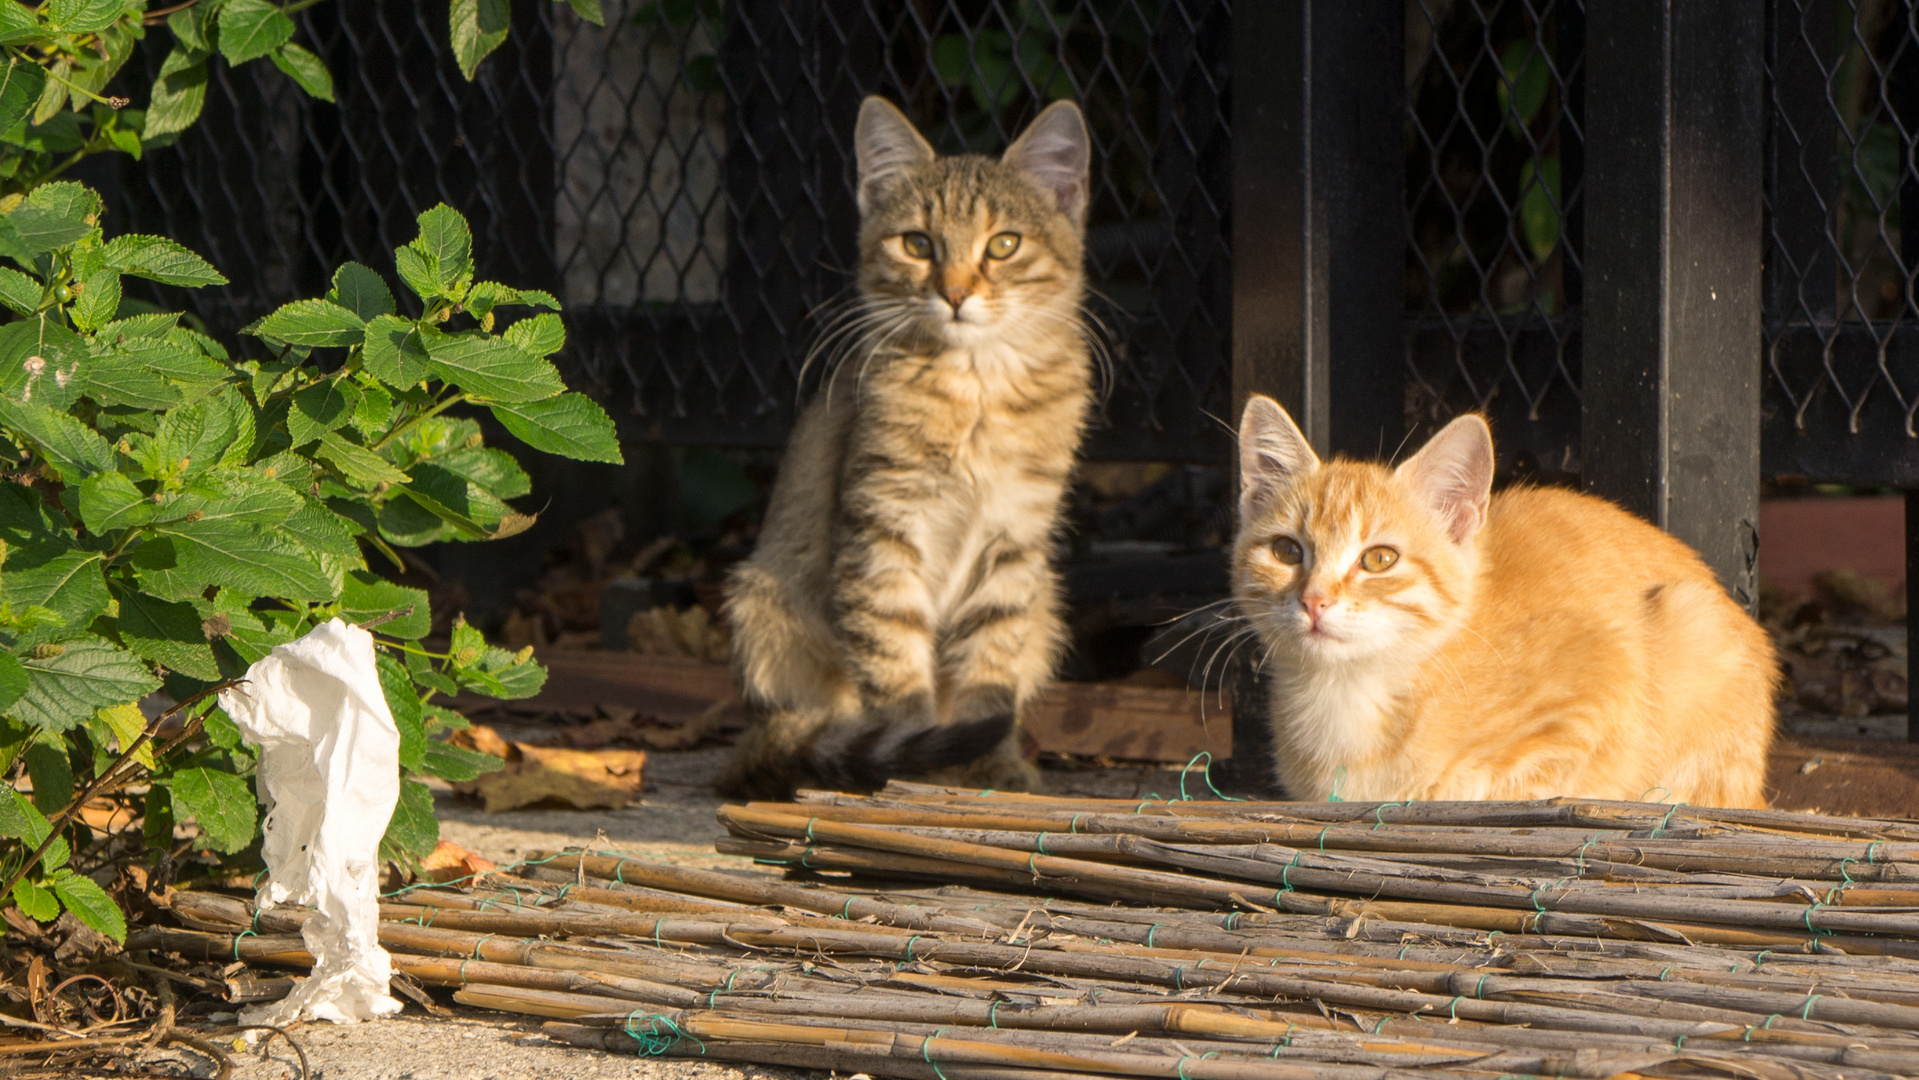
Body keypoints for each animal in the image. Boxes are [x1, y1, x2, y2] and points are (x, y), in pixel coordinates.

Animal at [717, 97, 1097, 798]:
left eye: (1003, 245)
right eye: (918, 244)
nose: (955, 293)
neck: (976, 389)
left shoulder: (1014, 540)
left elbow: (989, 671)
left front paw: (989, 768)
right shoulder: (882, 533)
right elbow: (896, 674)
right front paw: (914, 767)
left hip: (1045, 607)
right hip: (760, 607)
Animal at [1235, 393, 1773, 805]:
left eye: (1379, 559)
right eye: (1286, 551)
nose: (1314, 601)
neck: (1352, 690)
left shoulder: (1606, 684)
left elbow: (1509, 785)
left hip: (1692, 618)